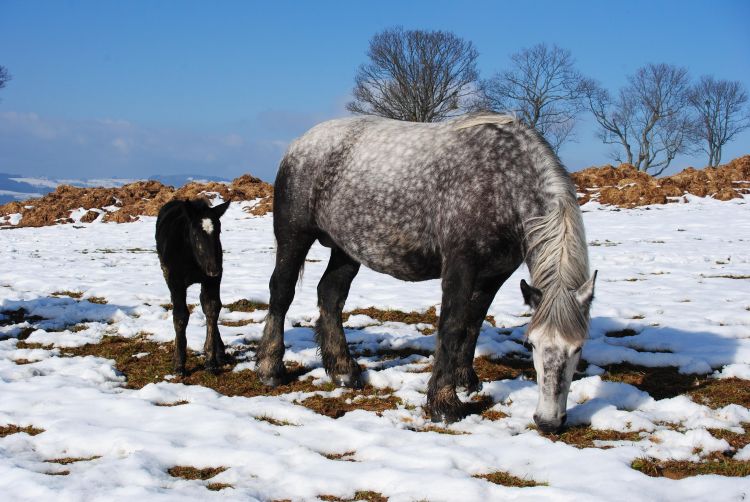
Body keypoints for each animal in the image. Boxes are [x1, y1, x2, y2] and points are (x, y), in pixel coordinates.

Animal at [258, 114, 600, 432]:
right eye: (531, 345)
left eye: (579, 347)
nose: (549, 421)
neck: (502, 179)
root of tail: (301, 143)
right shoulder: (460, 264)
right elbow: (452, 326)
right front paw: (444, 403)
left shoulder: (495, 274)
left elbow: (473, 323)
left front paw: (466, 380)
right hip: (294, 236)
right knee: (282, 292)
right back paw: (270, 368)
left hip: (346, 248)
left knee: (330, 294)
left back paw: (343, 370)